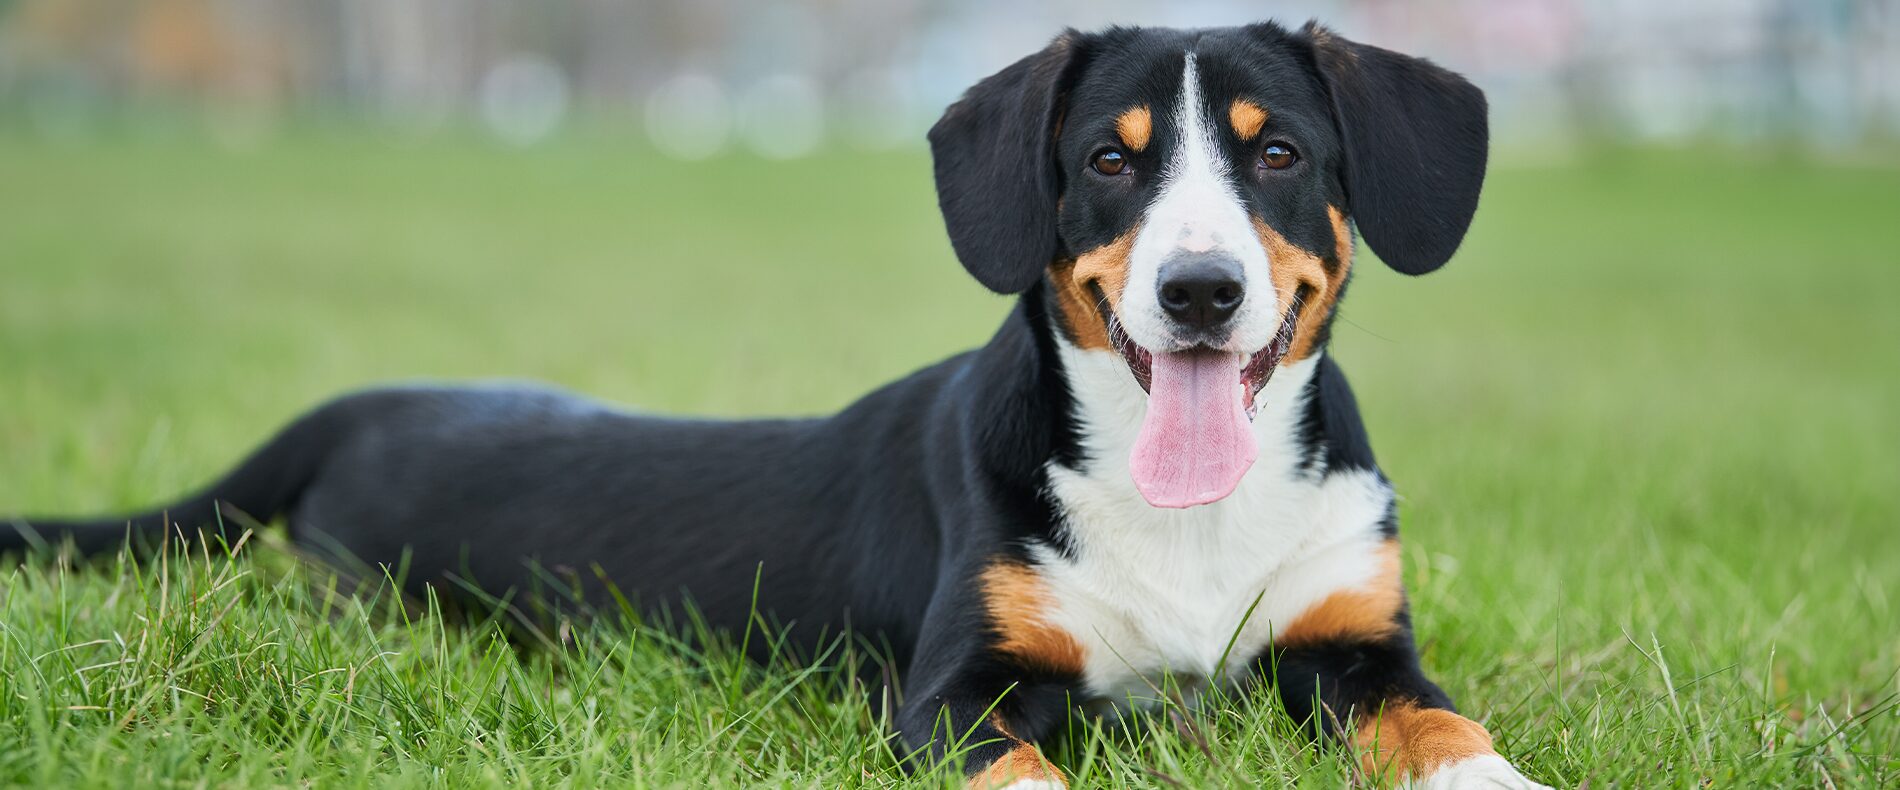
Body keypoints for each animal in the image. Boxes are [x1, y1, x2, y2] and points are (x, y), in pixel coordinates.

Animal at [11, 21, 1558, 786]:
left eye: (1277, 151)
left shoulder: (1359, 650)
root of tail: (364, 404)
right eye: (1110, 163)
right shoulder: (956, 695)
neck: (1185, 513)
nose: (1196, 291)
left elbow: (1456, 741)